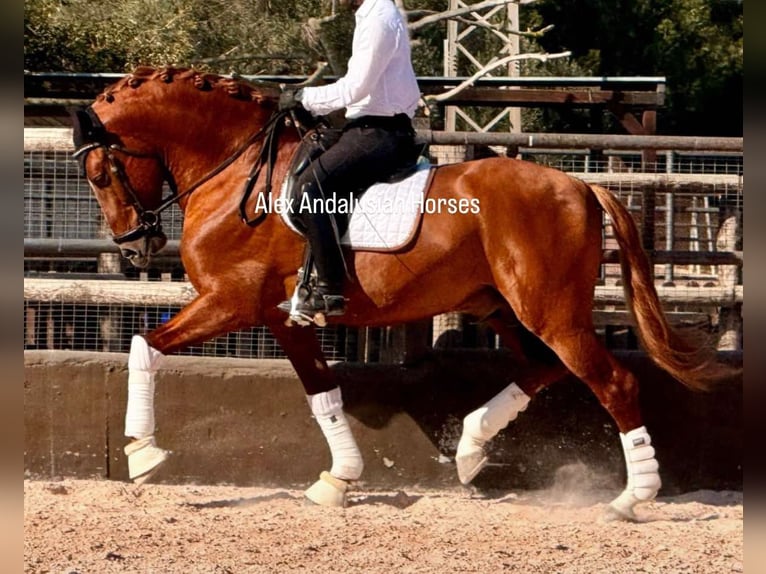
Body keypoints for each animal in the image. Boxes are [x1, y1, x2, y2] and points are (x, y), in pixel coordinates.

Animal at [72, 67, 720, 520]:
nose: (134, 246)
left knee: (613, 382)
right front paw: (338, 481)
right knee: (543, 368)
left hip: (549, 312)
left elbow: (144, 346)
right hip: (503, 307)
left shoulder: (230, 302)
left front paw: (142, 453)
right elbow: (322, 393)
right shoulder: (285, 319)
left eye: (99, 173)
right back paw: (470, 449)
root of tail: (582, 186)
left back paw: (632, 498)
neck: (240, 177)